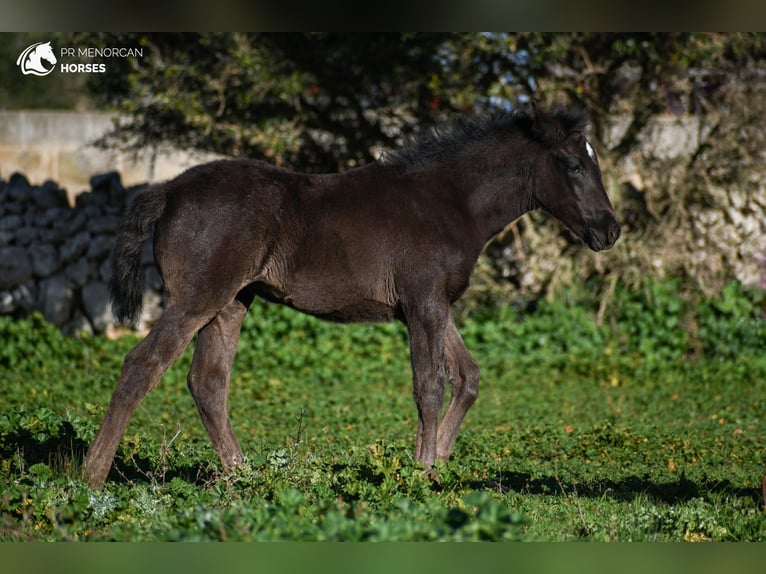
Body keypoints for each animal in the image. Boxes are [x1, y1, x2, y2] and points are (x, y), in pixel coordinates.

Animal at [84, 104, 624, 490]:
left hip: (231, 302)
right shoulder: (424, 302)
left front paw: (439, 463)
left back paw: (244, 476)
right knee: (143, 365)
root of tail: (169, 190)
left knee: (208, 382)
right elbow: (429, 386)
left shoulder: (433, 303)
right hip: (196, 298)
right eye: (573, 165)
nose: (610, 230)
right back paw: (91, 476)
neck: (450, 201)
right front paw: (421, 475)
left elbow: (467, 377)